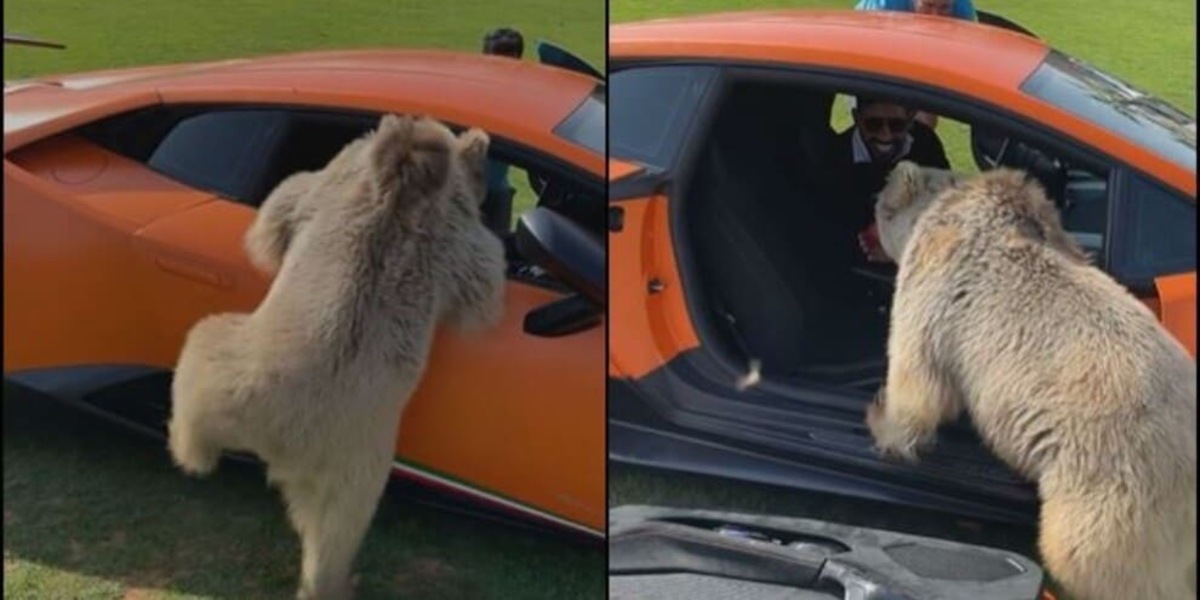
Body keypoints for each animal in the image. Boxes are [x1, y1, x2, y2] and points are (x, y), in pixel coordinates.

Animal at [167, 113, 508, 600]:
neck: (404, 186)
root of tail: (282, 440)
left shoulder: (439, 231)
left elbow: (288, 198)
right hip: (344, 454)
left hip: (335, 447)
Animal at [865, 161, 1196, 600]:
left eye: (876, 204)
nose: (863, 233)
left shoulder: (938, 283)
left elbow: (918, 377)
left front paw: (881, 419)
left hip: (1119, 490)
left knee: (1089, 556)